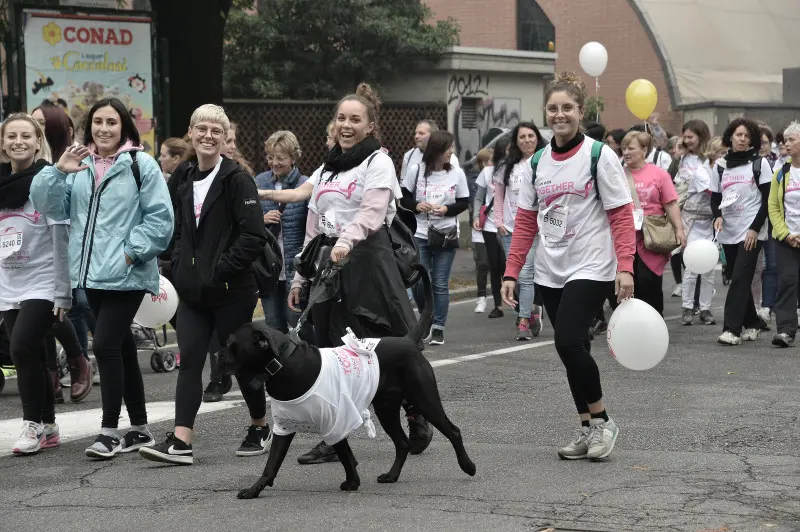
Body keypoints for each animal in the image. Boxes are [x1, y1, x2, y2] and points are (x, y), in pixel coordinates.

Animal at [219, 270, 476, 498]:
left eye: (231, 344)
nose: (217, 356)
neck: (283, 364)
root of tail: (408, 340)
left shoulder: (336, 421)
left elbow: (344, 454)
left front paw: (352, 483)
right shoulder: (284, 426)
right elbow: (271, 465)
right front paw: (253, 490)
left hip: (425, 398)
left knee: (453, 431)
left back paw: (468, 466)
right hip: (386, 408)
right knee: (402, 443)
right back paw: (391, 475)